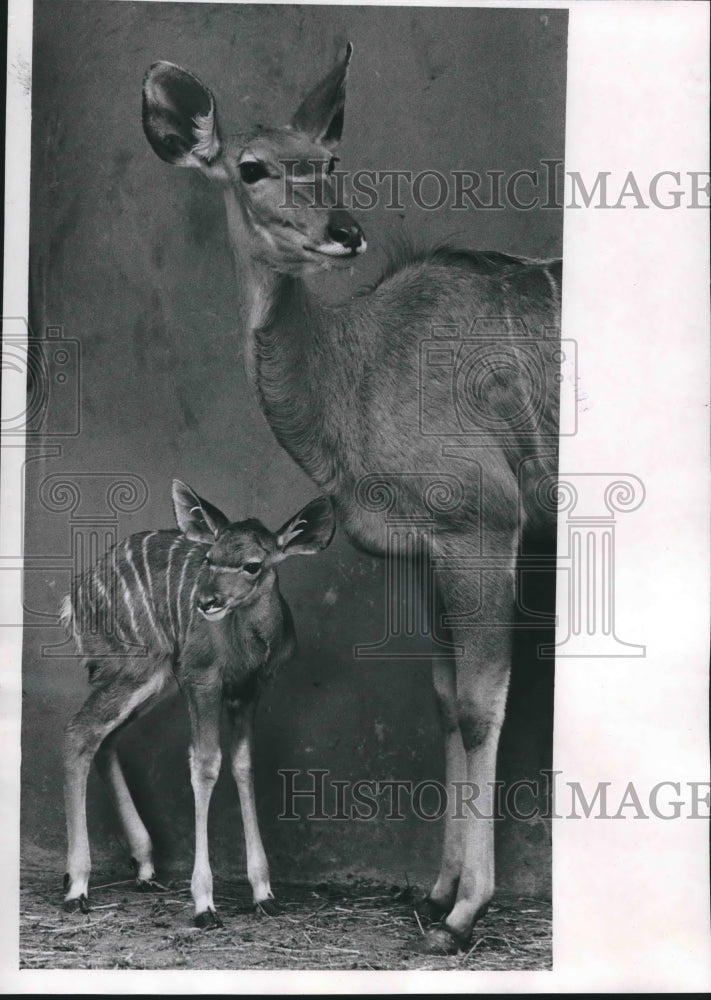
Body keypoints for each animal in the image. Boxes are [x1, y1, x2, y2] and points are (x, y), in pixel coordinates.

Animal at [62, 480, 336, 924]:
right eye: (210, 558)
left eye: (253, 565)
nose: (206, 602)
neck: (247, 646)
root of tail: (75, 598)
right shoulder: (202, 678)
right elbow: (205, 765)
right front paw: (204, 902)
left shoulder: (248, 690)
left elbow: (243, 765)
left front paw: (264, 893)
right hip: (135, 669)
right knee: (79, 733)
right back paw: (78, 886)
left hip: (154, 681)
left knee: (104, 740)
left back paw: (143, 866)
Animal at [140, 47, 560, 952]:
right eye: (252, 167)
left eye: (328, 161)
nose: (342, 229)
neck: (358, 369)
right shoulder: (429, 549)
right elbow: (443, 703)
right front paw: (435, 892)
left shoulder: (485, 525)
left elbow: (480, 706)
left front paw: (463, 914)